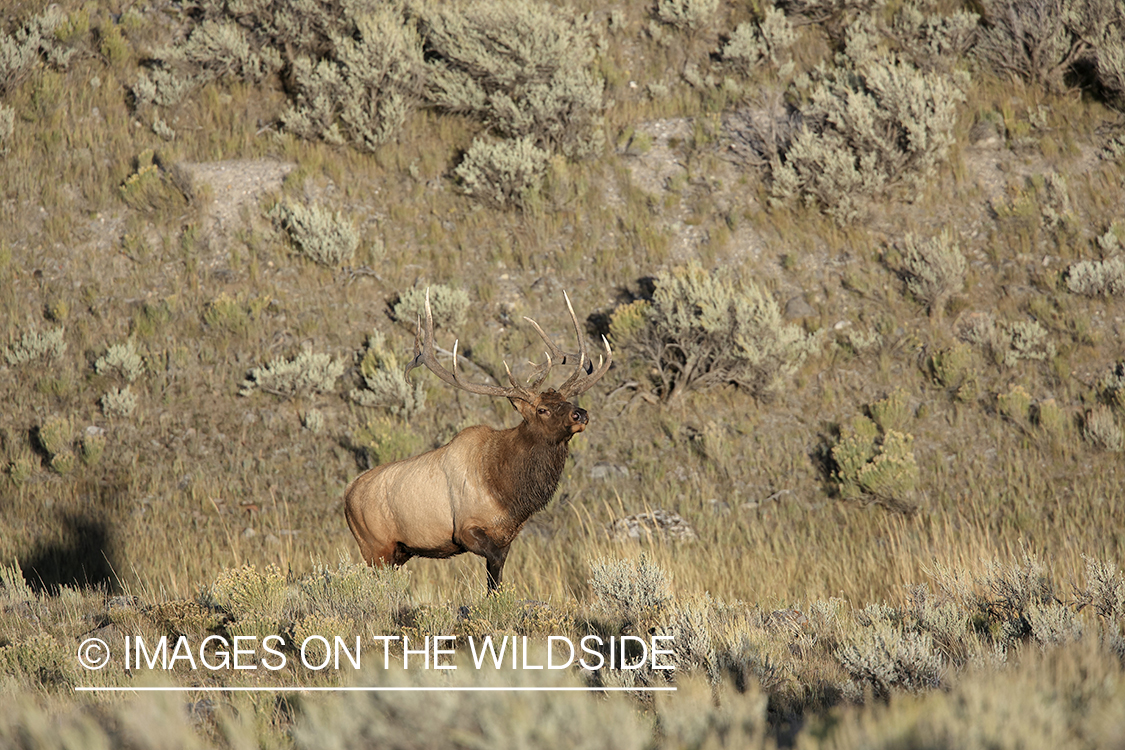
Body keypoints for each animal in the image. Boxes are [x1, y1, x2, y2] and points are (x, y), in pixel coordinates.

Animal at [342, 292, 612, 593]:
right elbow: (492, 575)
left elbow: (496, 580)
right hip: (374, 547)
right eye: (542, 409)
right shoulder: (466, 529)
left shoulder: (507, 537)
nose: (581, 413)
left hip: (397, 552)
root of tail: (347, 494)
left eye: (565, 400)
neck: (507, 491)